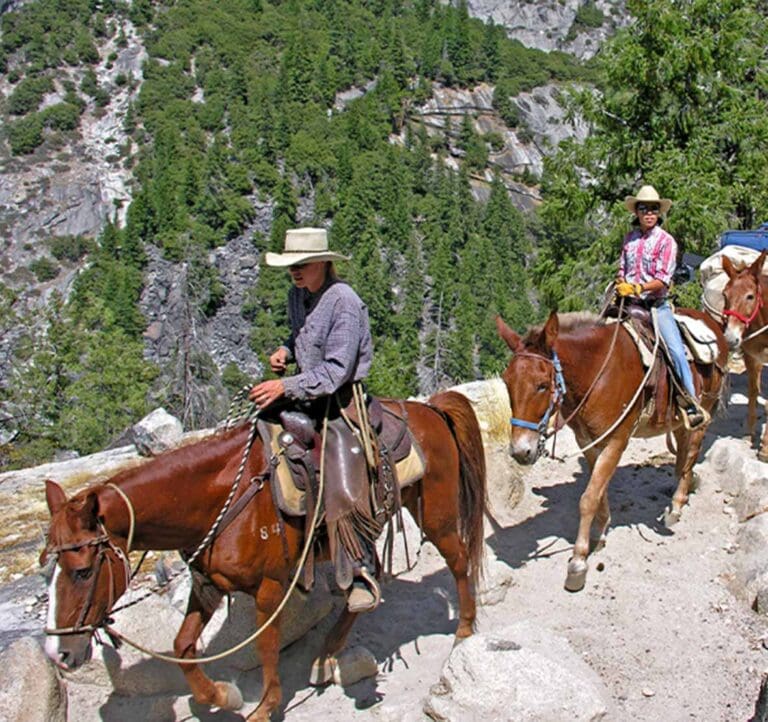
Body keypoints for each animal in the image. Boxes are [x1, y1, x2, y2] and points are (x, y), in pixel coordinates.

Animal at [40, 390, 486, 716]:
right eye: (50, 571)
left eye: (82, 571)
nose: (59, 654)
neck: (221, 499)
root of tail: (430, 409)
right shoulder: (208, 585)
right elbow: (183, 646)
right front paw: (224, 696)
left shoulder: (269, 587)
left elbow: (266, 647)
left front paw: (264, 707)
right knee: (365, 584)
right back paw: (327, 654)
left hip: (436, 514)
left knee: (459, 561)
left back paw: (464, 631)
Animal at [498, 310, 728, 592]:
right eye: (507, 383)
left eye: (542, 385)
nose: (521, 451)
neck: (597, 372)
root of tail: (712, 321)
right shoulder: (587, 440)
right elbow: (599, 490)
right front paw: (600, 532)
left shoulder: (617, 440)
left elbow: (588, 498)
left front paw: (578, 563)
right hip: (678, 421)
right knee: (684, 455)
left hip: (703, 412)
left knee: (691, 453)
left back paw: (676, 505)